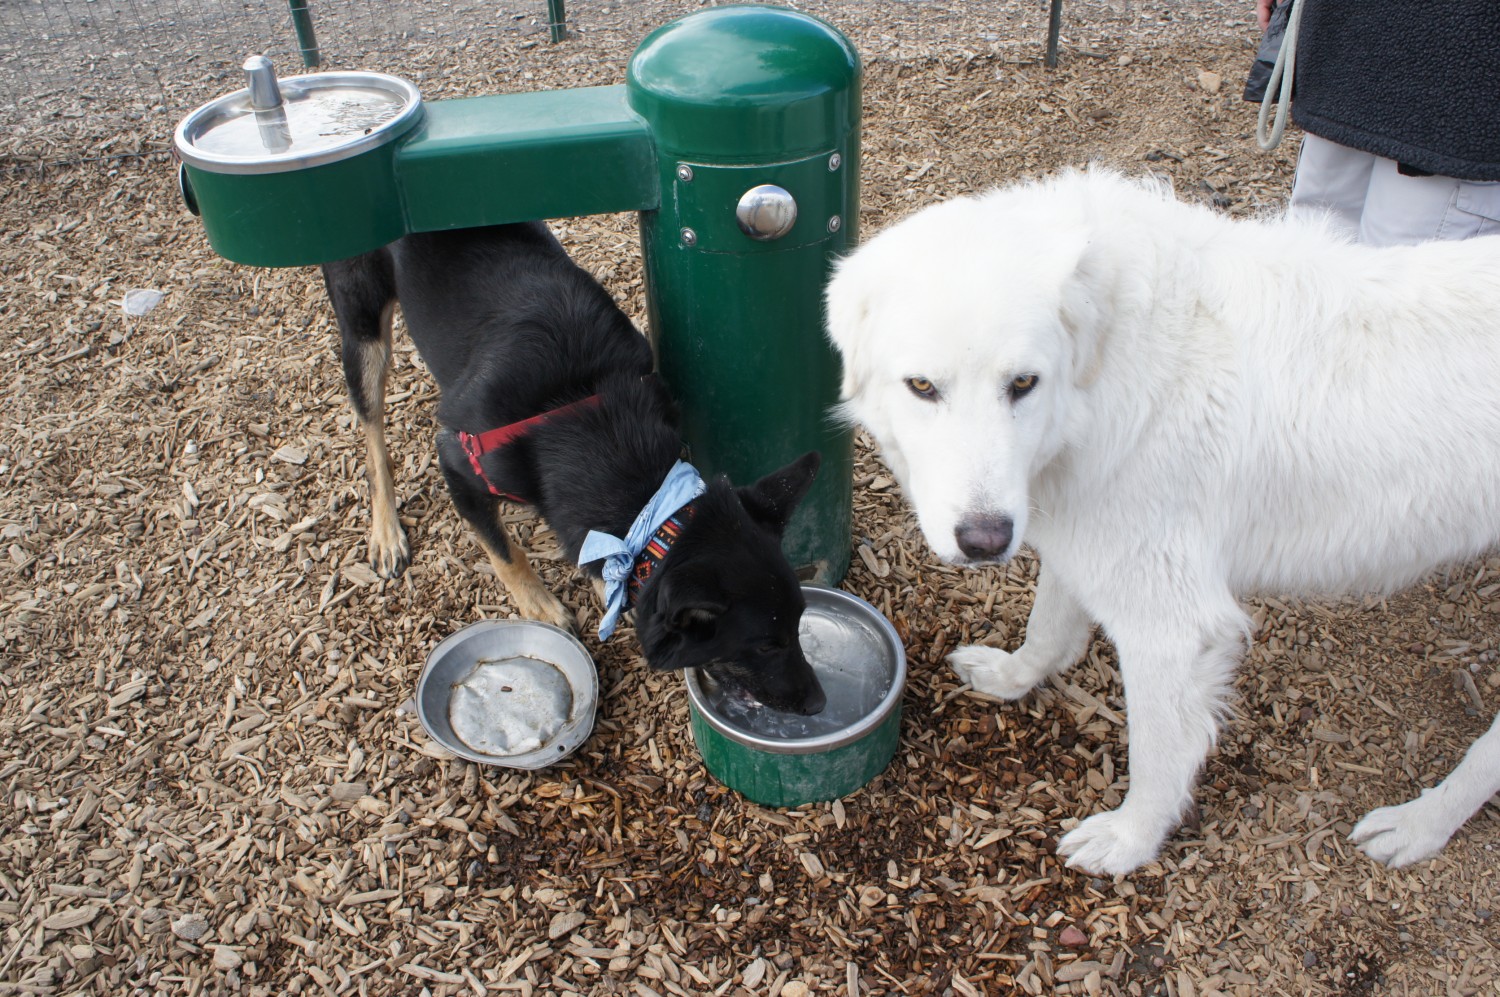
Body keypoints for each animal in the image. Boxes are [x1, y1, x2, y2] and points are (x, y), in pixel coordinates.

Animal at [321, 221, 828, 710]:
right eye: (766, 645)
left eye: (801, 623)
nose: (819, 703)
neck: (584, 411)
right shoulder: (457, 461)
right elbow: (503, 552)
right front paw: (541, 606)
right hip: (363, 328)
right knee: (372, 437)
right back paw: (386, 532)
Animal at [828, 167, 1500, 875]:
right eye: (922, 387)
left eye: (1024, 383)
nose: (986, 543)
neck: (1111, 366)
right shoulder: (1084, 540)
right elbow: (1047, 631)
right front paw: (1013, 678)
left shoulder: (1172, 628)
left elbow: (1156, 755)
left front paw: (1130, 840)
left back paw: (1421, 823)